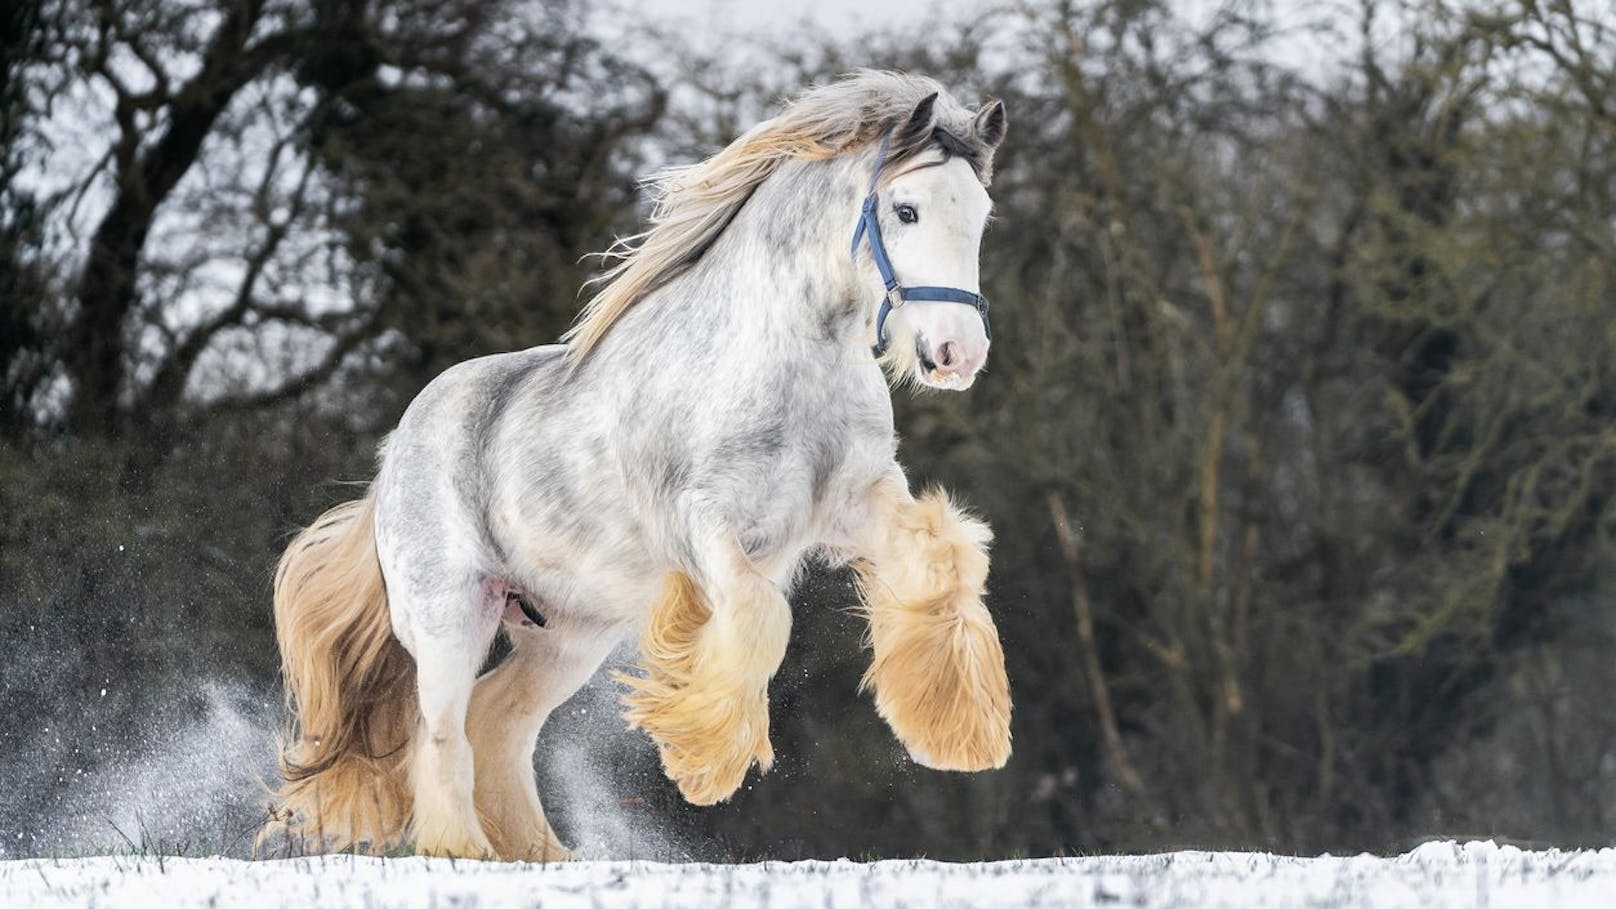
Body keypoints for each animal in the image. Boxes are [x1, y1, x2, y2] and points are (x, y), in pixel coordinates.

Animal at [271, 70, 1014, 854]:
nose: (958, 355)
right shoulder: (705, 525)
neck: (784, 361)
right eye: (906, 210)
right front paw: (704, 764)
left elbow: (942, 563)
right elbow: (759, 617)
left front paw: (961, 733)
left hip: (566, 636)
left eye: (980, 215)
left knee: (497, 723)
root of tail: (393, 458)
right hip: (451, 615)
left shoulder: (858, 503)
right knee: (440, 738)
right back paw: (466, 852)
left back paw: (544, 857)